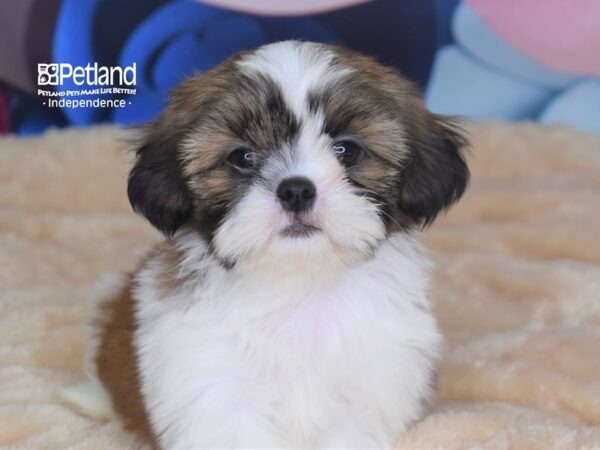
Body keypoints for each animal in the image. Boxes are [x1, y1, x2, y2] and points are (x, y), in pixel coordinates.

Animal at [62, 40, 468, 448]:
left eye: (347, 150)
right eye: (242, 157)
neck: (299, 286)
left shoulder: (366, 391)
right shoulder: (216, 392)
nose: (296, 190)